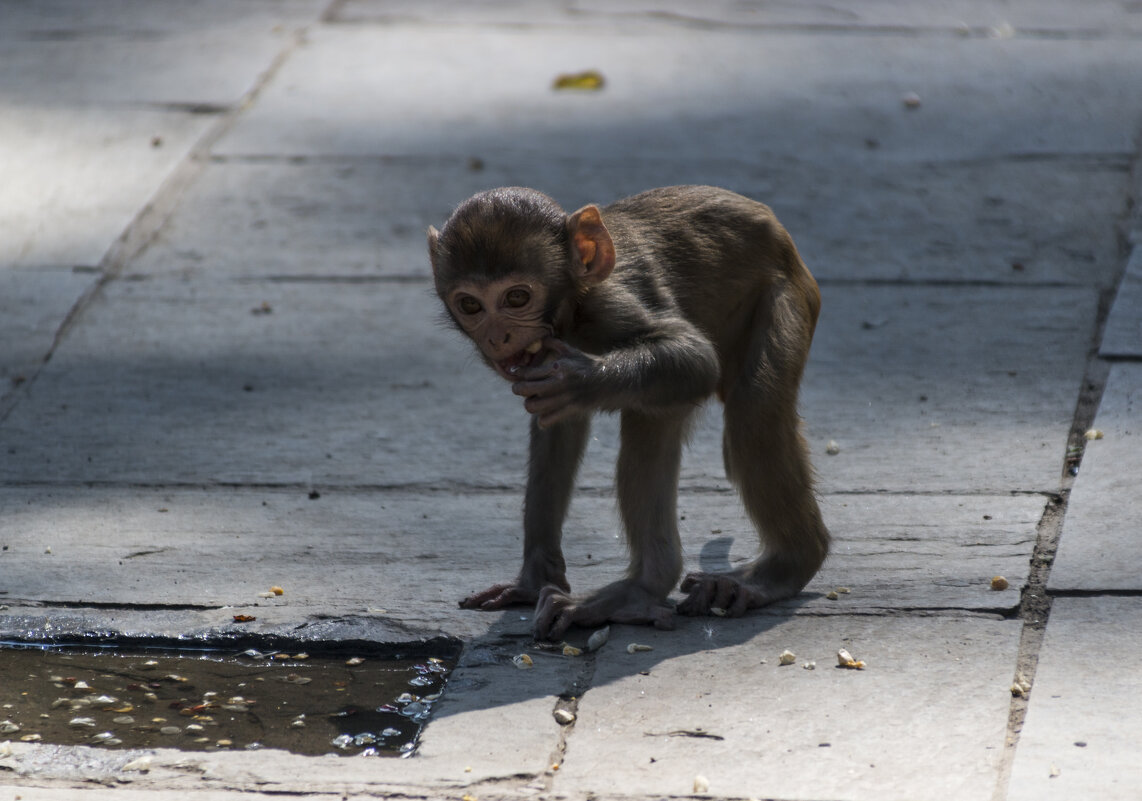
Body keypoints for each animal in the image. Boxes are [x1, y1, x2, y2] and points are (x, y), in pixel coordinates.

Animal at [429, 182, 831, 635]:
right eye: (471, 305)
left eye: (516, 297)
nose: (498, 337)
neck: (573, 306)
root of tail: (779, 233)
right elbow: (559, 431)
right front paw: (533, 581)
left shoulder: (612, 302)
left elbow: (694, 358)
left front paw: (580, 379)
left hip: (787, 293)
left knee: (750, 412)